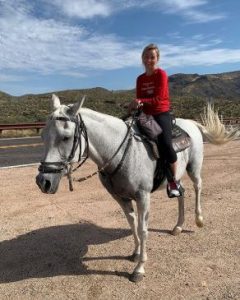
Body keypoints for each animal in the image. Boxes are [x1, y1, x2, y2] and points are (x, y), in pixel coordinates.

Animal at [35, 94, 238, 282]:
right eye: (43, 135)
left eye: (66, 137)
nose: (43, 181)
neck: (121, 151)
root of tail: (190, 123)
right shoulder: (121, 198)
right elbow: (132, 224)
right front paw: (136, 253)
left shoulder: (143, 197)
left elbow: (143, 228)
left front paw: (139, 268)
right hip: (177, 177)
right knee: (181, 194)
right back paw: (178, 226)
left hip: (194, 167)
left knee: (198, 187)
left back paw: (199, 219)